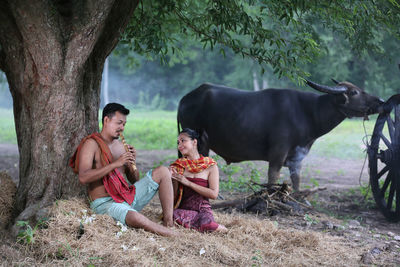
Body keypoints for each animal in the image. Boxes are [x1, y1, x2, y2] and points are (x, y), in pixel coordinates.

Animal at [178, 80, 384, 192]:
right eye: (354, 92)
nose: (380, 100)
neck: (308, 112)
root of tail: (186, 98)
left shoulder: (297, 156)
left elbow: (296, 179)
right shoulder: (278, 152)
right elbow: (273, 177)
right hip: (196, 143)